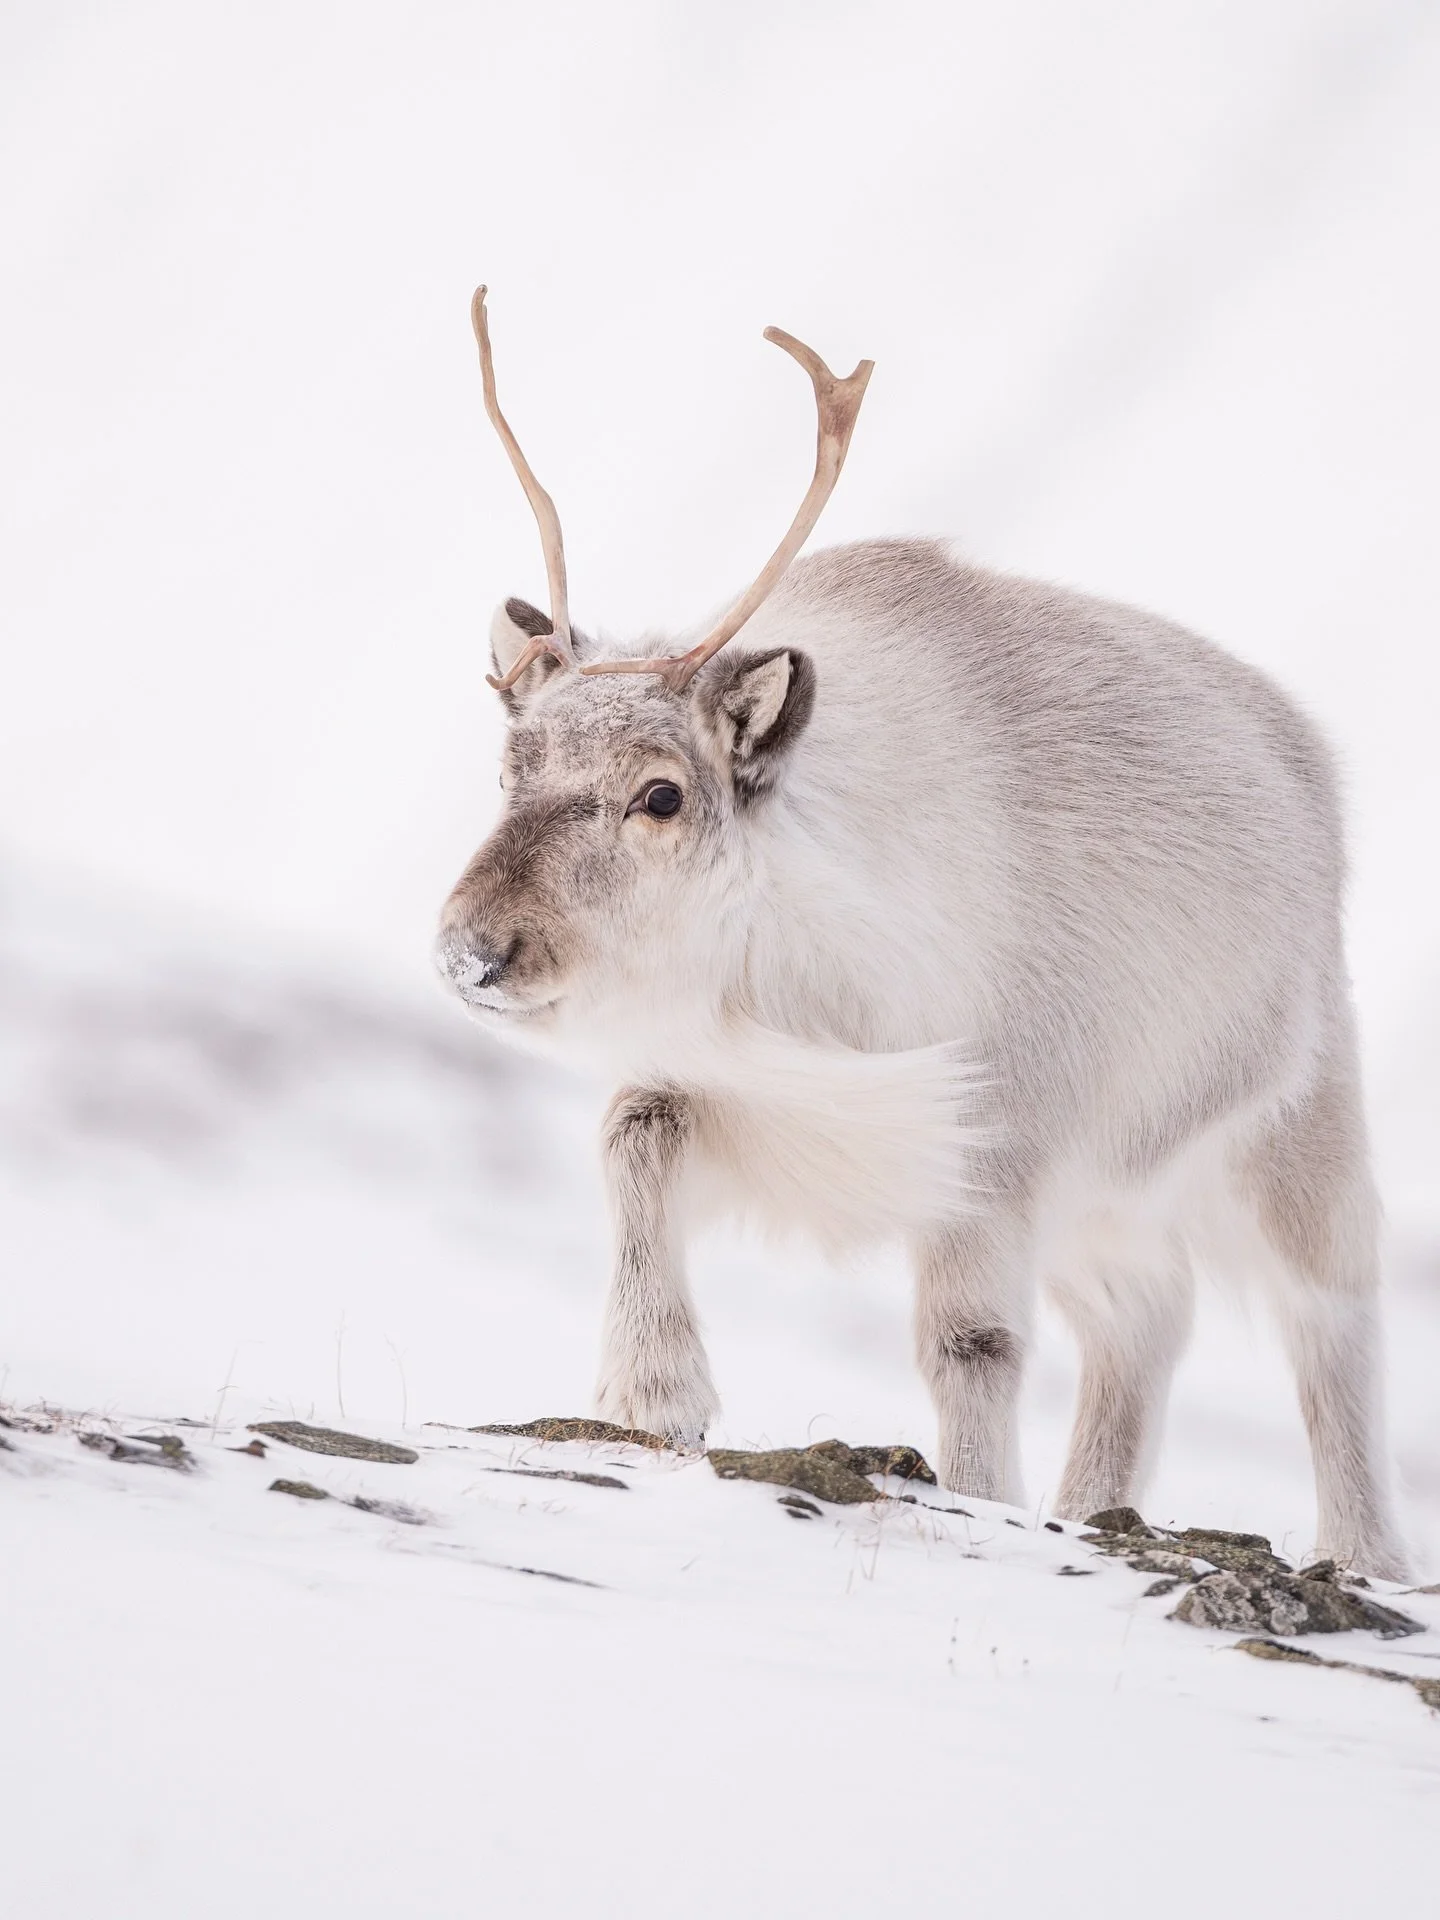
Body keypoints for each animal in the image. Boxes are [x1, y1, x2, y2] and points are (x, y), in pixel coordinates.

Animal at [436, 287, 1407, 1577]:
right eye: (512, 767)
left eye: (662, 794)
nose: (473, 951)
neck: (814, 964)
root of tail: (1306, 757)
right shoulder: (748, 1094)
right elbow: (628, 1138)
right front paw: (655, 1390)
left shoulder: (996, 1144)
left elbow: (973, 1341)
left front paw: (981, 1499)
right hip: (1110, 1201)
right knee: (1148, 1319)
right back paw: (1093, 1507)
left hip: (1291, 1136)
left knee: (1329, 1322)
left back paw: (1366, 1557)